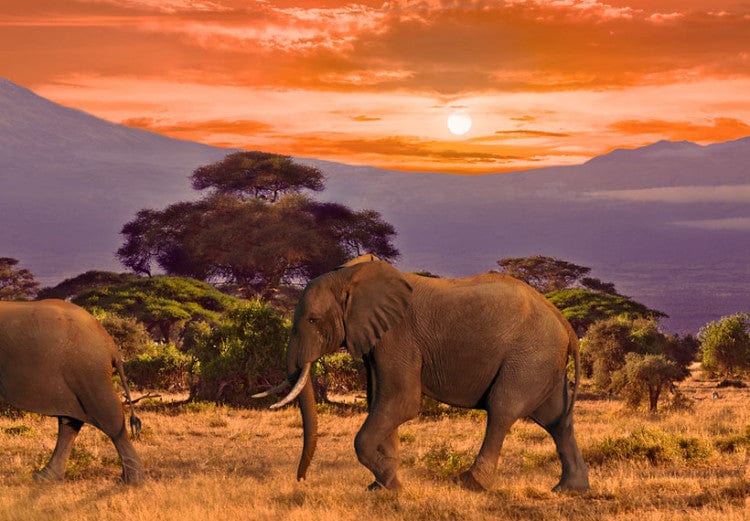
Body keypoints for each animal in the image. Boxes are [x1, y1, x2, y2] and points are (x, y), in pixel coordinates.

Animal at [0, 299, 145, 484]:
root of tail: (111, 346)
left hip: (88, 372)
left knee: (109, 418)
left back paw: (133, 481)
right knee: (70, 422)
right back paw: (44, 478)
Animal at [257, 255, 589, 492]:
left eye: (313, 320)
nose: (301, 480)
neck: (352, 275)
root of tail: (564, 323)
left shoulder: (399, 335)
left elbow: (401, 402)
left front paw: (390, 483)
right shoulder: (379, 340)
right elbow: (380, 400)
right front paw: (383, 487)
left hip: (529, 356)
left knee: (502, 409)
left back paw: (470, 483)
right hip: (542, 362)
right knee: (557, 419)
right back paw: (570, 490)